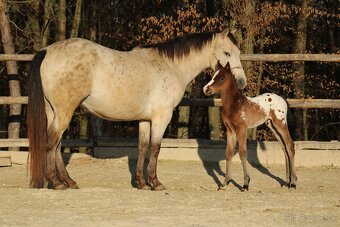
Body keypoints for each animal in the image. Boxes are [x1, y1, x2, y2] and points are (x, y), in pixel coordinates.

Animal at [25, 29, 244, 190]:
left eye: (238, 53)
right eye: (227, 53)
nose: (241, 82)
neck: (171, 66)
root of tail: (47, 51)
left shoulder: (145, 119)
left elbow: (142, 147)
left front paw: (141, 182)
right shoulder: (161, 117)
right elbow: (155, 148)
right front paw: (155, 182)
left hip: (54, 111)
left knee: (56, 145)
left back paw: (68, 181)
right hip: (64, 112)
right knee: (52, 142)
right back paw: (56, 182)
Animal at [203, 61, 296, 191]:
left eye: (222, 78)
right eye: (213, 76)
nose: (206, 89)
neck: (234, 104)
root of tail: (283, 100)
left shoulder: (242, 128)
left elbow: (242, 153)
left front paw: (245, 184)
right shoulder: (230, 130)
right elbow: (229, 153)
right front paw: (225, 183)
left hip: (281, 124)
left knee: (290, 145)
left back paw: (293, 183)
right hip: (272, 125)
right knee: (284, 147)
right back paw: (286, 182)